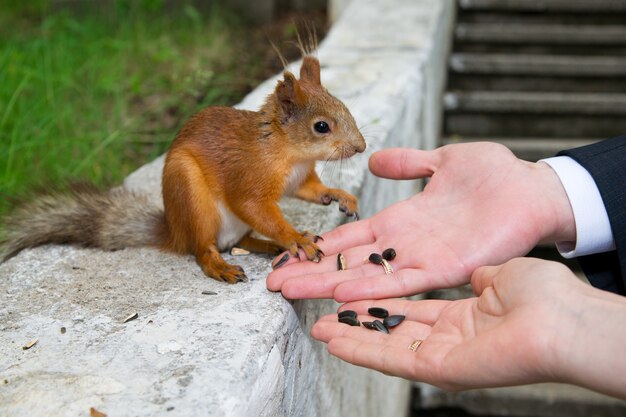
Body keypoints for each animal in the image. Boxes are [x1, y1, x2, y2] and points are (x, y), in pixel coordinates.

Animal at [0, 53, 366, 282]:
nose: (361, 147)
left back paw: (267, 244)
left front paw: (339, 196)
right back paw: (223, 266)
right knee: (204, 249)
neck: (291, 154)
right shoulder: (249, 176)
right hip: (192, 199)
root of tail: (175, 232)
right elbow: (254, 206)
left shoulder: (298, 179)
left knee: (240, 240)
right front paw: (294, 237)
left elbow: (311, 190)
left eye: (346, 107)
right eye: (321, 127)